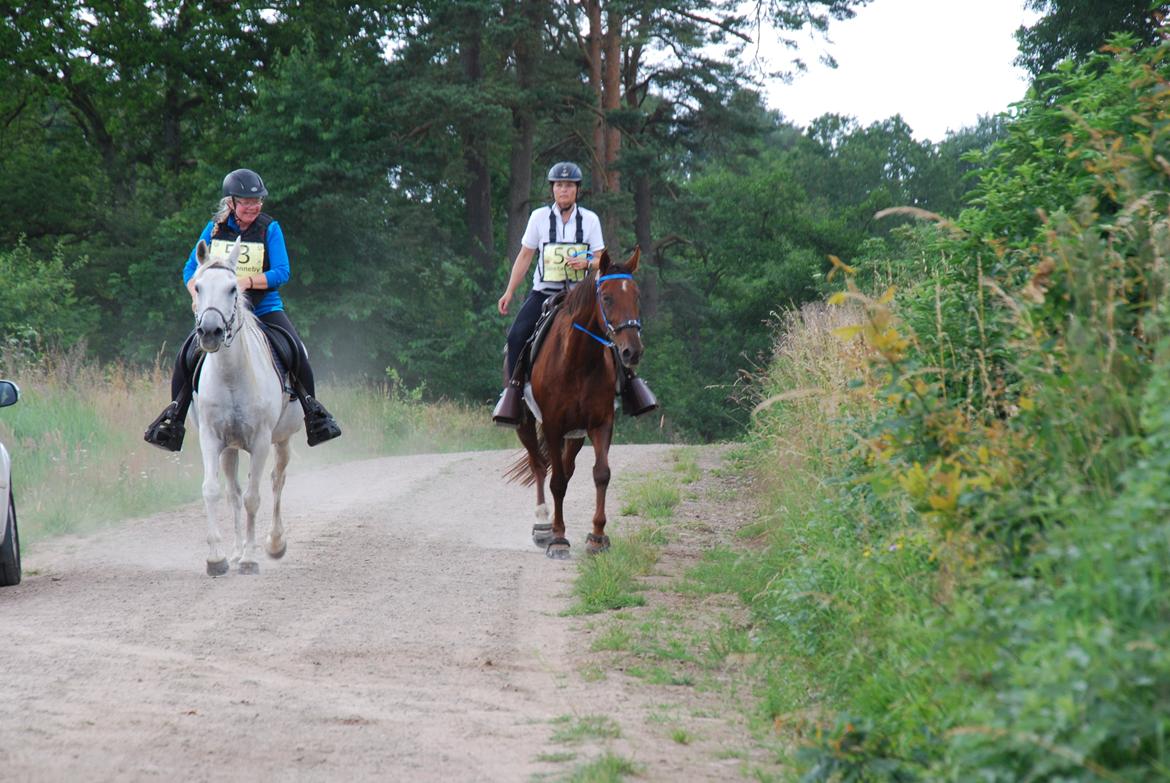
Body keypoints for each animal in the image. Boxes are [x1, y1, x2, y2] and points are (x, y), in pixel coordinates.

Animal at [190, 238, 301, 573]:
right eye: (198, 287)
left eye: (232, 289)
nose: (210, 332)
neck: (231, 376)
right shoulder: (211, 438)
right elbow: (213, 491)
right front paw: (217, 558)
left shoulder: (261, 440)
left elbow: (254, 497)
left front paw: (251, 558)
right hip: (230, 448)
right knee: (233, 493)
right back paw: (236, 551)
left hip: (282, 439)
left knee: (277, 480)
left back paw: (274, 544)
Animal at [505, 246, 645, 559]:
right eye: (607, 298)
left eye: (636, 296)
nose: (632, 352)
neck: (579, 360)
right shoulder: (553, 425)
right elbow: (556, 481)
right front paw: (558, 539)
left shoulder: (601, 423)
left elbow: (601, 474)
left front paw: (597, 536)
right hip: (526, 424)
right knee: (539, 466)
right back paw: (543, 526)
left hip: (576, 435)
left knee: (565, 470)